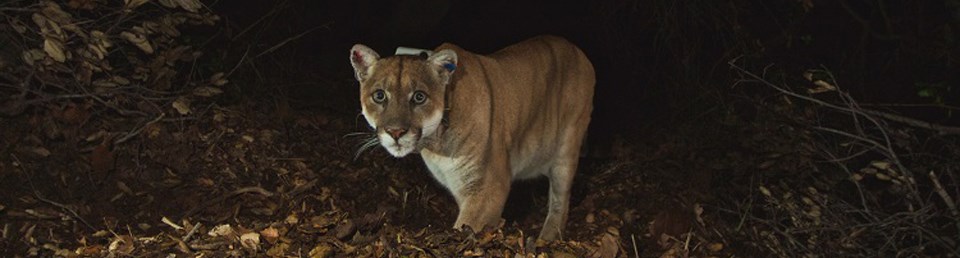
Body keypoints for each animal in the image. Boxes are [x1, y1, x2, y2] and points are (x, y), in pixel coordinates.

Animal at [350, 34, 592, 240]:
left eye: (419, 97)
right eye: (379, 95)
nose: (396, 132)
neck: (436, 143)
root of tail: (577, 49)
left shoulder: (488, 187)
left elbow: (466, 227)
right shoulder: (460, 185)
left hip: (567, 149)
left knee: (561, 200)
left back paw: (546, 239)